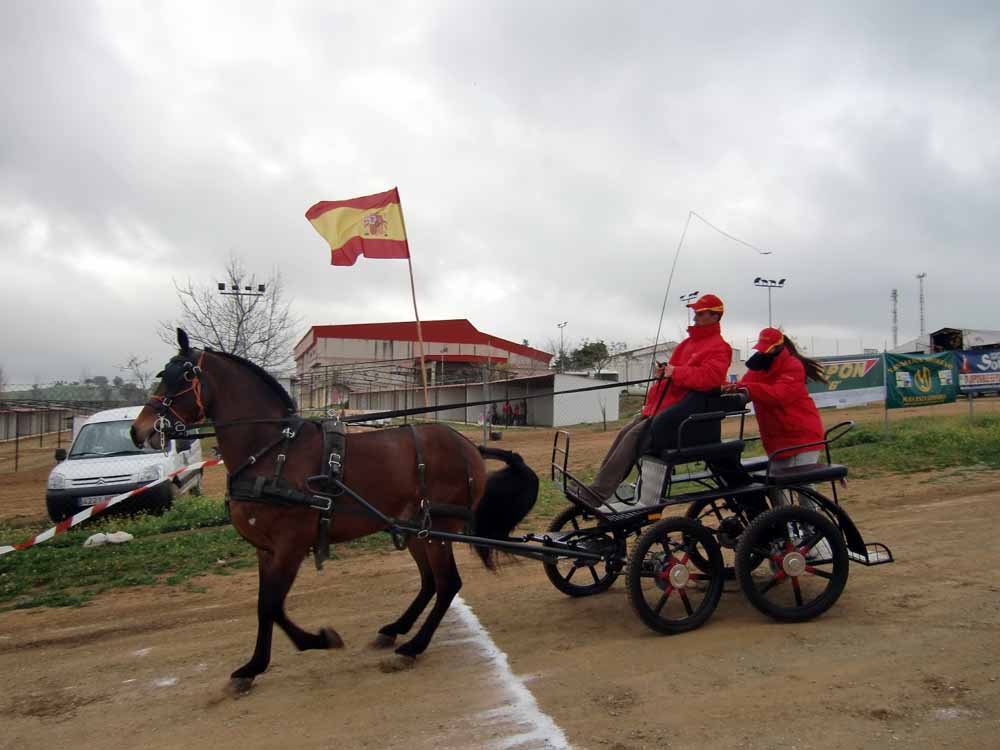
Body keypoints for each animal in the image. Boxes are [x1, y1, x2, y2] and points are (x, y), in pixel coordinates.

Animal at [133, 332, 544, 696]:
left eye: (184, 375)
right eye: (164, 373)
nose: (139, 432)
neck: (273, 453)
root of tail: (468, 445)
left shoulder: (290, 546)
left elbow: (273, 605)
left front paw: (319, 639)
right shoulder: (266, 550)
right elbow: (264, 607)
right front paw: (252, 667)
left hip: (438, 531)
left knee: (447, 584)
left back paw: (412, 647)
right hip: (416, 529)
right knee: (430, 582)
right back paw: (395, 629)